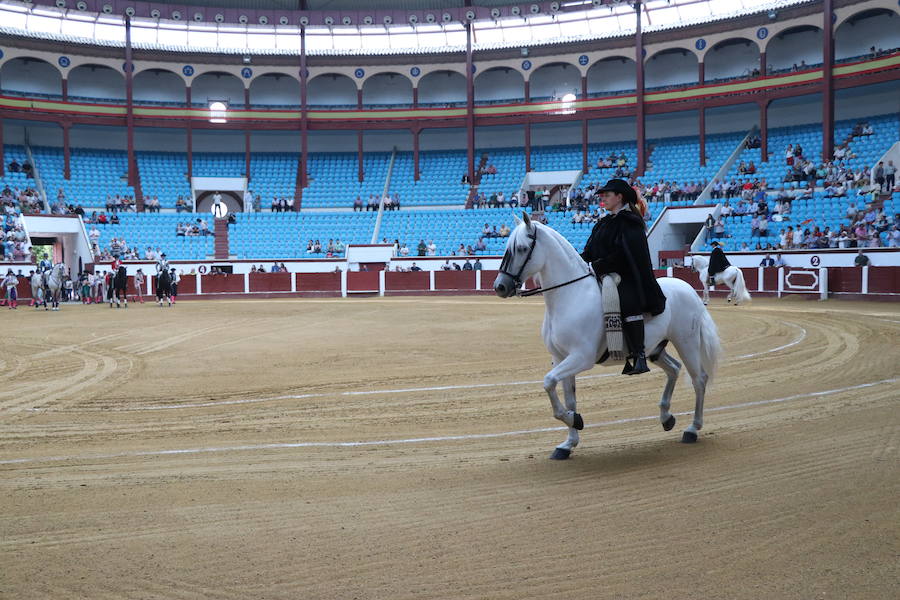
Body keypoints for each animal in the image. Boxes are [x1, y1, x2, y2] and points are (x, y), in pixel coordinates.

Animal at [496, 214, 720, 460]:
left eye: (521, 248)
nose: (500, 287)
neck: (570, 296)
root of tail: (688, 289)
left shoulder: (581, 358)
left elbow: (548, 382)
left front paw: (575, 420)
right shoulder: (560, 357)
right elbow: (568, 397)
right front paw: (568, 443)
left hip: (687, 343)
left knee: (699, 379)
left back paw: (692, 429)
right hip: (656, 349)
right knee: (674, 368)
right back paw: (666, 417)